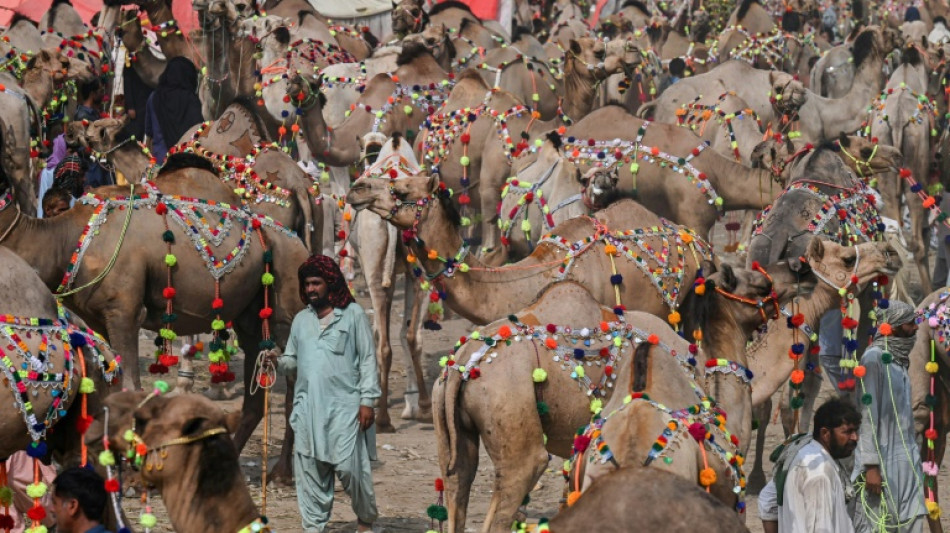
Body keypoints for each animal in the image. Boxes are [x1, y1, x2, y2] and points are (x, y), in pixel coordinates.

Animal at [0, 155, 312, 482]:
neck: (67, 240)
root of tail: (301, 245)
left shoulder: (123, 310)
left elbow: (131, 386)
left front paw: (133, 473)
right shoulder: (97, 318)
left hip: (287, 293)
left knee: (294, 375)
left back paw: (282, 471)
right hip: (250, 315)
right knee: (255, 386)